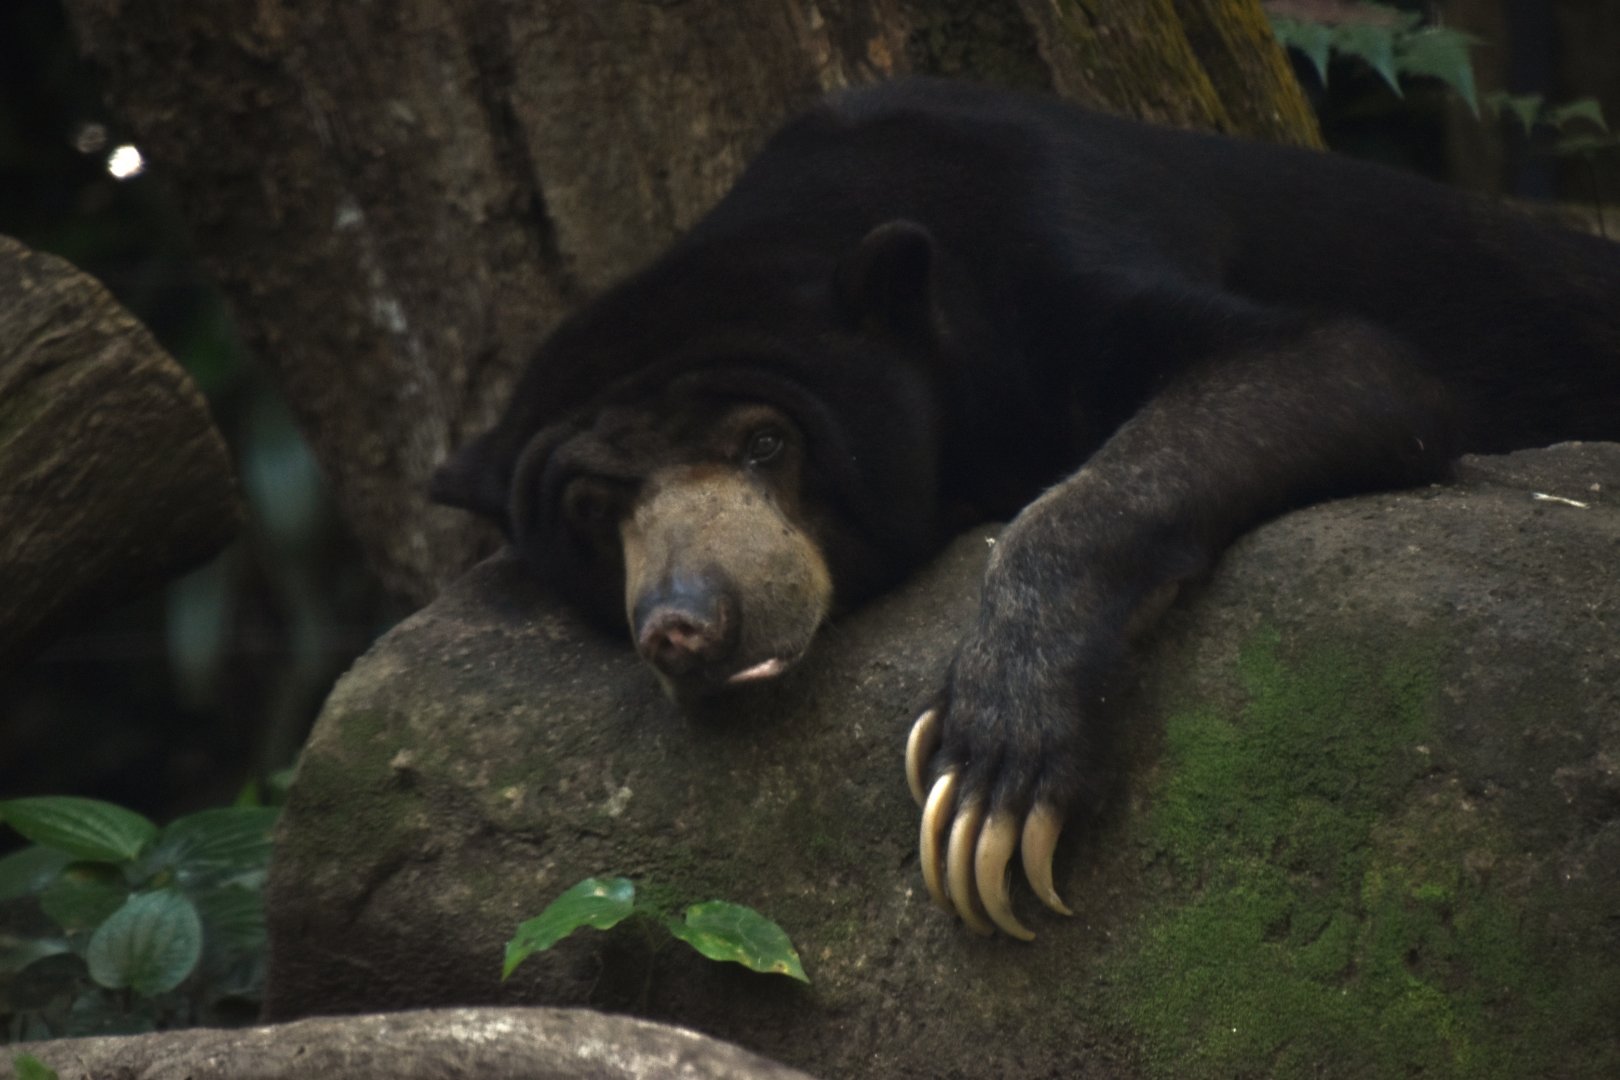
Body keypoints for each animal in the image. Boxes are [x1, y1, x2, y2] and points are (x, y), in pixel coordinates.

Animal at [432, 78, 1620, 941]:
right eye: (596, 508)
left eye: (765, 443)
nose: (687, 623)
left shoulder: (1057, 246)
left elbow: (1345, 364)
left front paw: (989, 781)